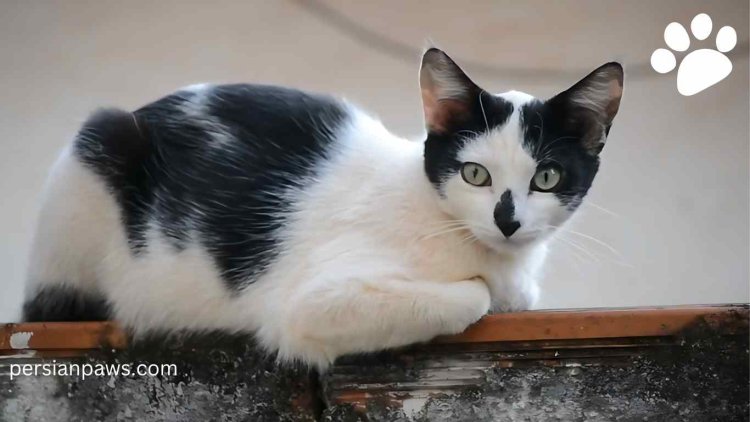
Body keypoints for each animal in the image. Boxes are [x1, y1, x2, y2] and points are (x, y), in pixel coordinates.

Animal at [22, 47, 624, 368]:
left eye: (546, 177)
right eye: (475, 173)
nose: (507, 219)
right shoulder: (308, 304)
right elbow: (471, 296)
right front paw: (480, 293)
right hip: (99, 142)